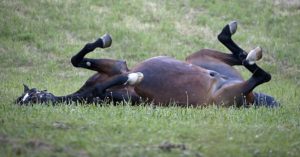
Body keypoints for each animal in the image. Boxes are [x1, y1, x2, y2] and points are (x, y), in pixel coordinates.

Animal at [15, 21, 278, 107]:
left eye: (33, 96)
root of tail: (251, 100)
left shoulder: (117, 66)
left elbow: (78, 59)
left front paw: (103, 40)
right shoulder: (124, 93)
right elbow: (106, 84)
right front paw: (136, 78)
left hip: (198, 57)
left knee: (240, 57)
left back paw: (243, 46)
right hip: (224, 96)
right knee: (261, 76)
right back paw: (252, 55)